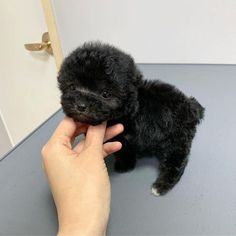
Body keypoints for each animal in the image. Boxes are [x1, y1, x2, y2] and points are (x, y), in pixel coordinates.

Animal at [57, 42, 205, 195]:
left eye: (105, 94)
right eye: (72, 86)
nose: (81, 105)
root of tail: (190, 106)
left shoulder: (124, 139)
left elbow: (124, 152)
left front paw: (124, 165)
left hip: (176, 138)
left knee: (176, 160)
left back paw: (161, 185)